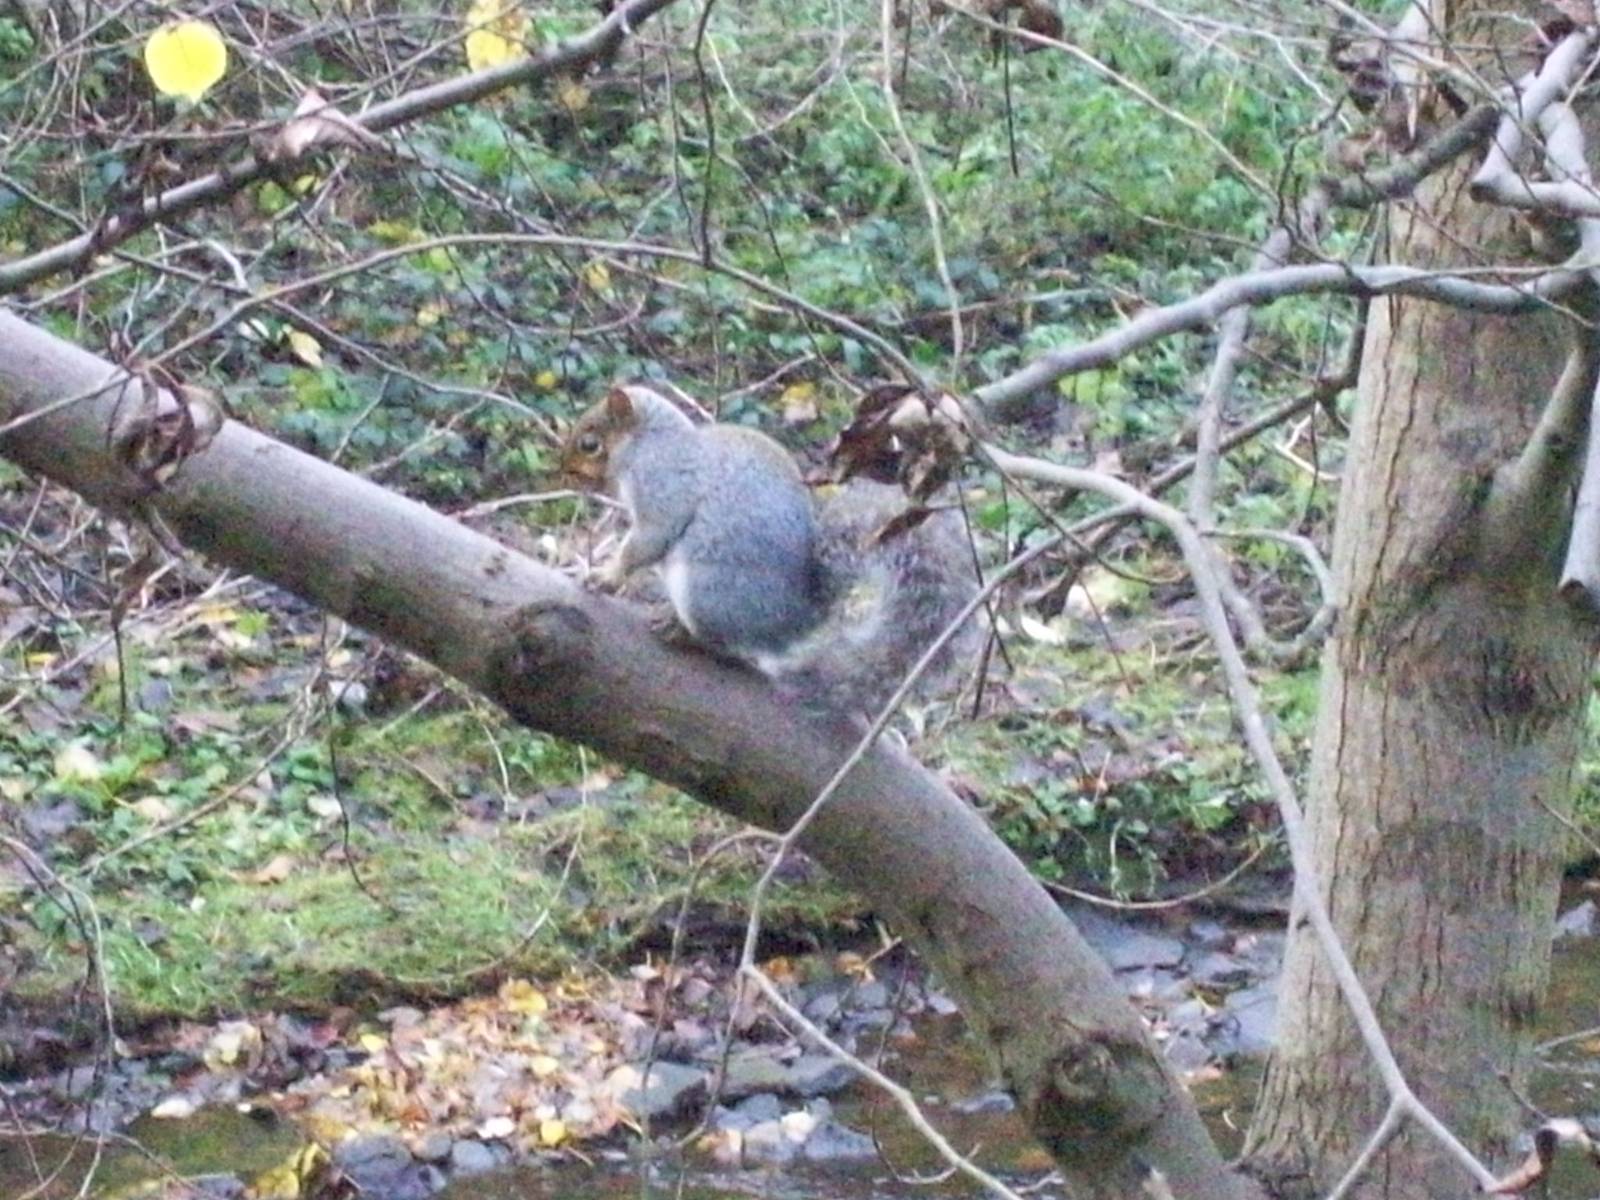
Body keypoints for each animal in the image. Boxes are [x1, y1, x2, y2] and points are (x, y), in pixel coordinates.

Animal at [559, 383, 979, 714]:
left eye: (590, 444)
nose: (562, 472)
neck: (650, 441)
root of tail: (800, 615)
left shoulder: (663, 485)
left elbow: (650, 538)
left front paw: (606, 575)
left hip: (706, 589)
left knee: (729, 643)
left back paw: (682, 631)